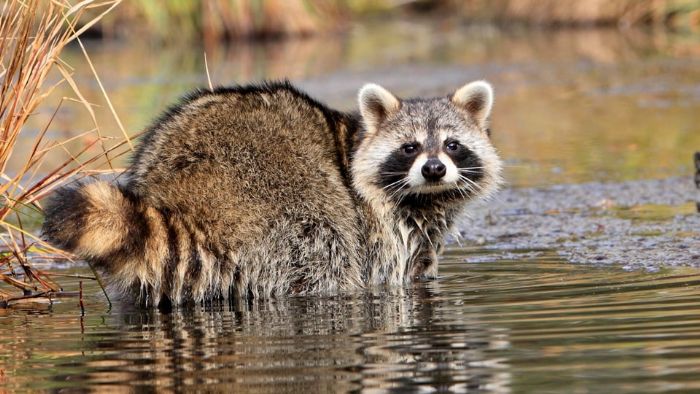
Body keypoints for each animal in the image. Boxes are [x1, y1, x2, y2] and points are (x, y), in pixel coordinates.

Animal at [42, 81, 504, 308]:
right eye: (410, 147)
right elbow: (398, 273)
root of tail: (183, 197)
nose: (433, 169)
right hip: (278, 199)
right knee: (324, 247)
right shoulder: (385, 227)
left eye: (452, 145)